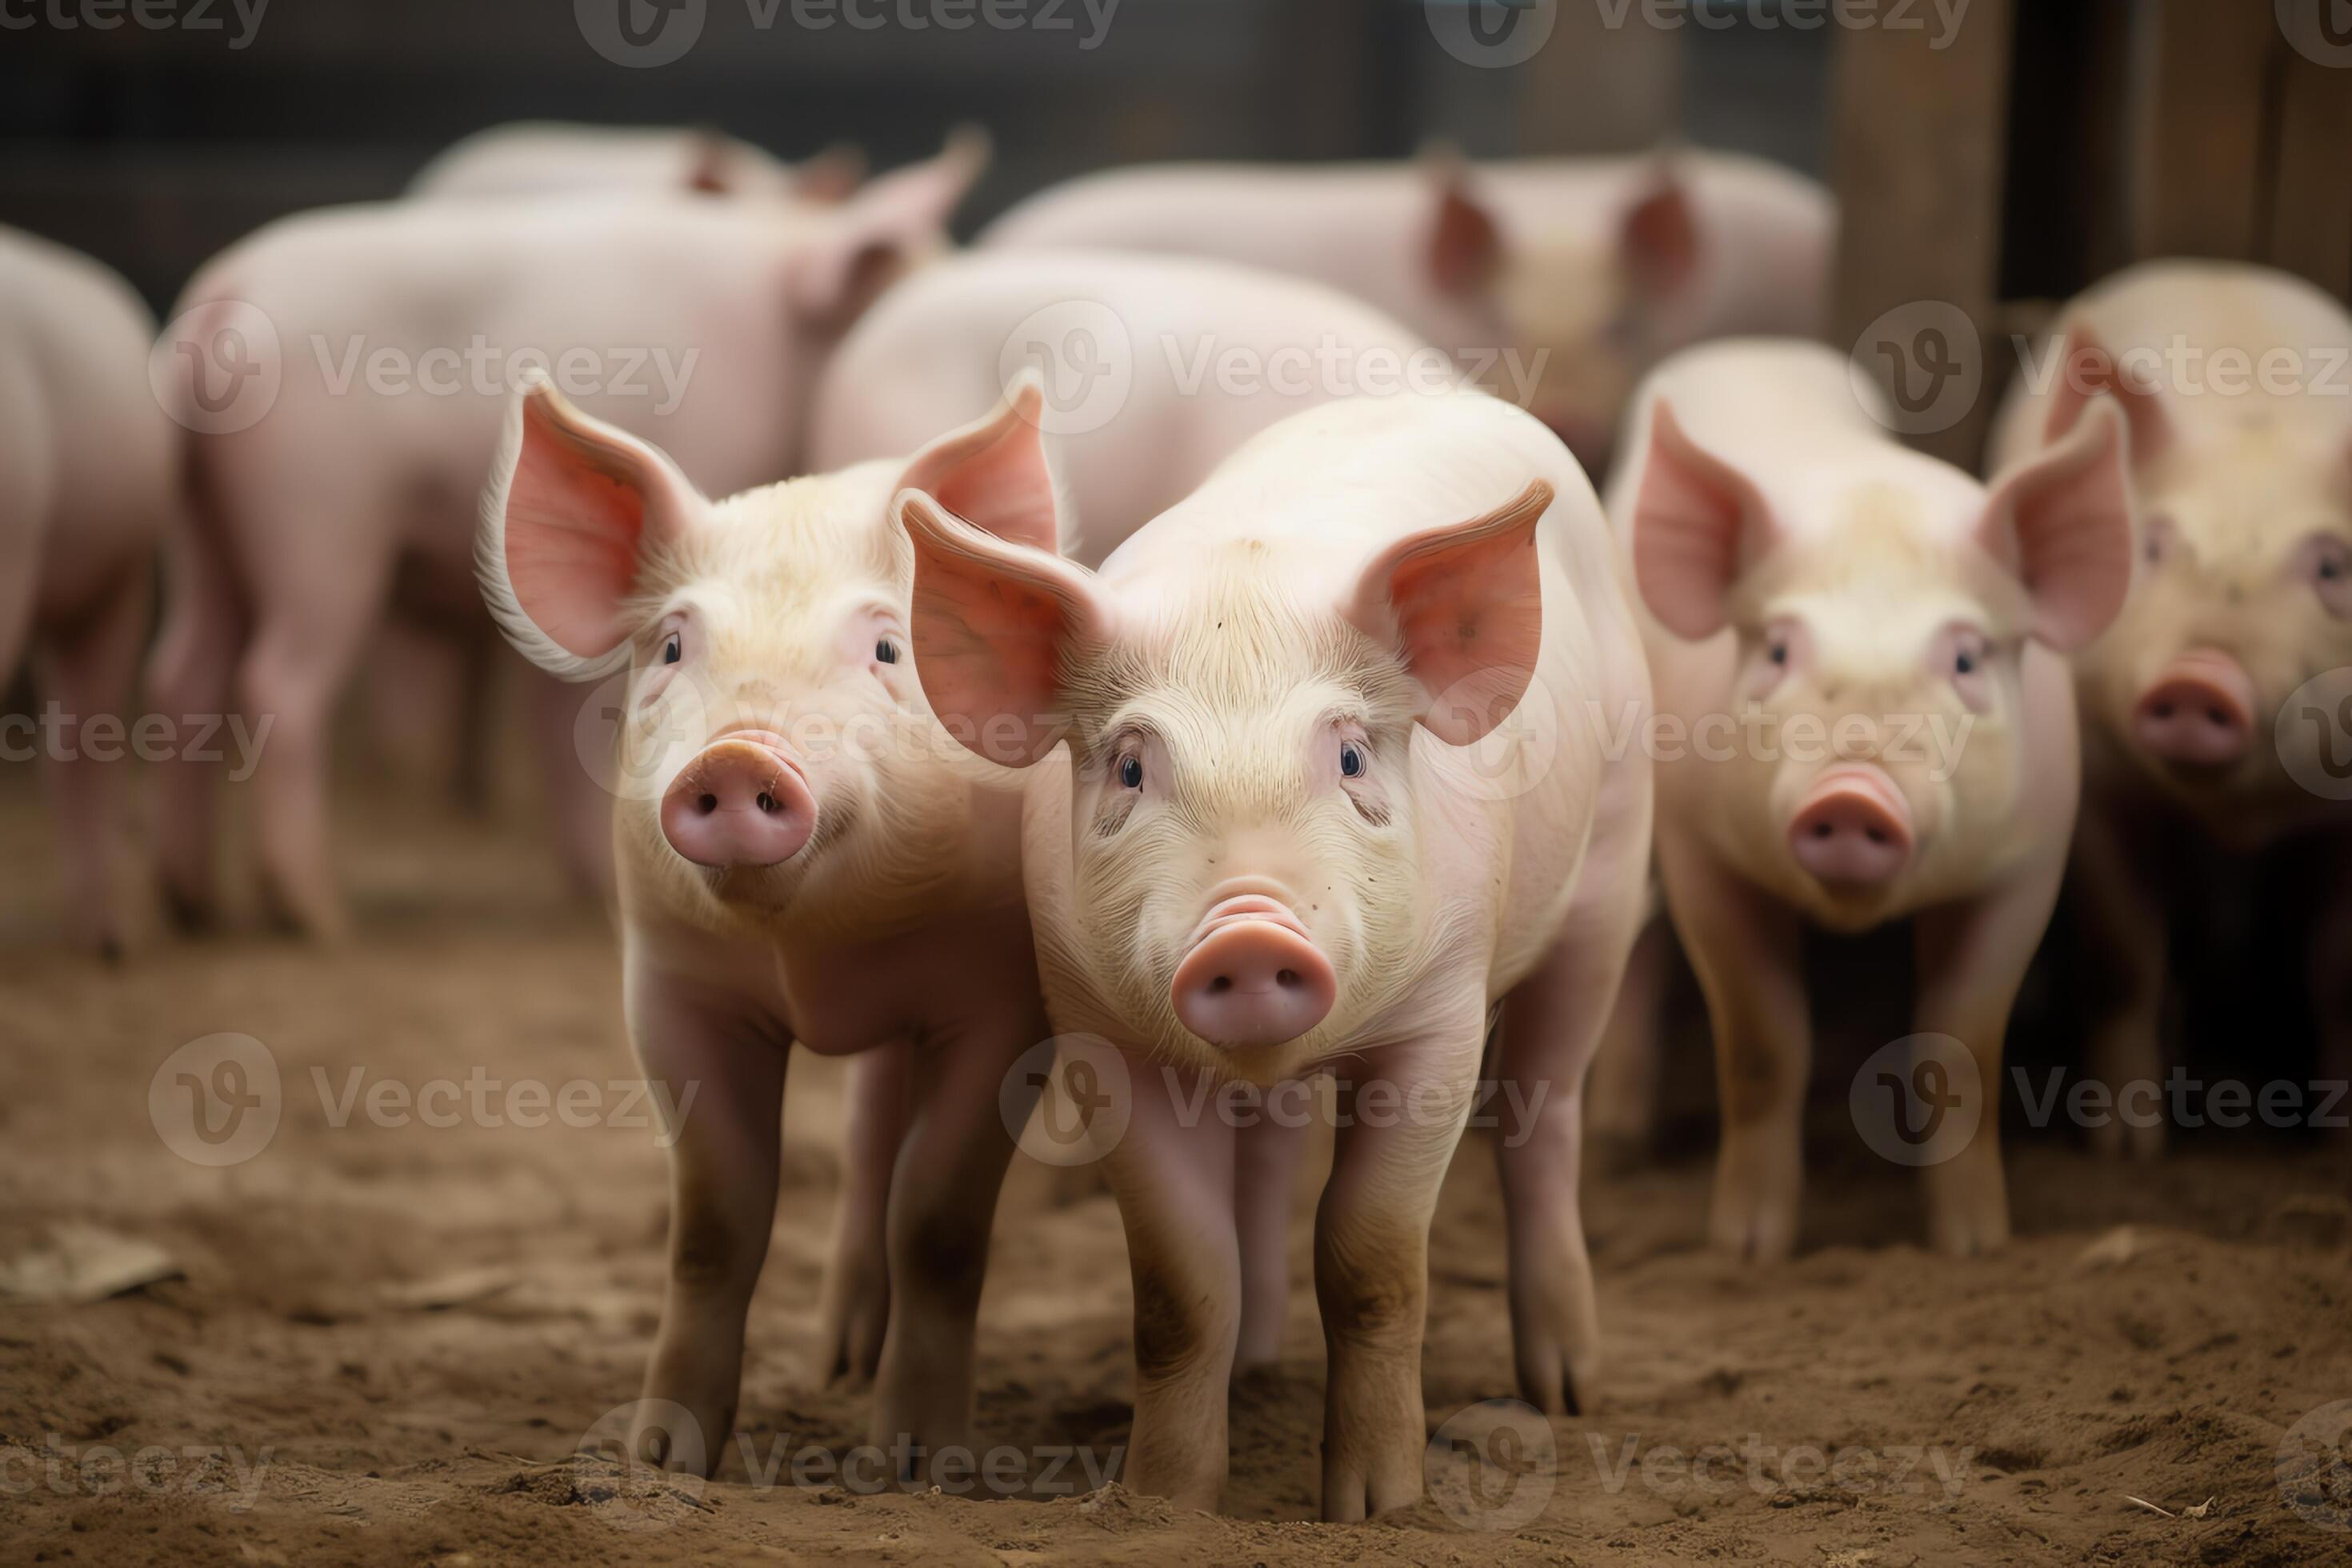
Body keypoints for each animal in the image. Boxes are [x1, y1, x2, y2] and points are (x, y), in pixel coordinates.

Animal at [145, 141, 983, 938]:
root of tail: (225, 292)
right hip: (322, 525)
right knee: (279, 682)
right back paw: (314, 914)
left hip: (200, 527)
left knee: (188, 667)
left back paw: (195, 904)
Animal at [902, 386, 1655, 1518]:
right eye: (1130, 768)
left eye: (1348, 756)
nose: (1250, 928)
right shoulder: (1098, 1029)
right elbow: (1181, 1284)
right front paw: (1167, 1502)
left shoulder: (1442, 1012)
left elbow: (1372, 1259)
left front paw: (1378, 1507)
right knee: (1270, 1156)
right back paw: (1258, 1367)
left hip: (1612, 862)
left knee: (1551, 1107)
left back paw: (1567, 1390)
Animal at [1612, 339, 2137, 1260]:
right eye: (1777, 650)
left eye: (1965, 658)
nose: (1854, 792)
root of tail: (1752, 346)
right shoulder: (1696, 845)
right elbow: (1762, 1045)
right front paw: (1748, 1249)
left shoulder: (2031, 860)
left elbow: (1964, 1047)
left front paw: (1975, 1247)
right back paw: (1622, 1142)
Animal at [1989, 261, 2352, 1154]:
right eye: (2150, 546)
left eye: (2332, 566)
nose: (2198, 677)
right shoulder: (2098, 781)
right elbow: (2125, 949)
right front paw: (2125, 1146)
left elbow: (2336, 968)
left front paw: (2336, 1143)